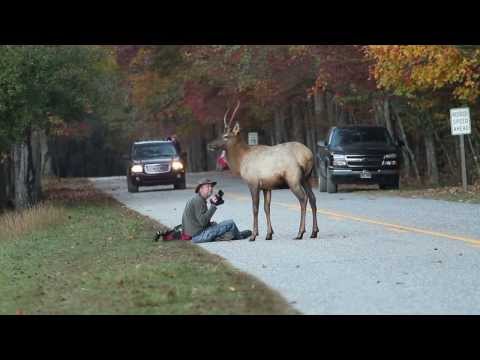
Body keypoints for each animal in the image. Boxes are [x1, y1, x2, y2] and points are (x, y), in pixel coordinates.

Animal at [207, 101, 316, 242]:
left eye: (226, 136)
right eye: (220, 134)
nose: (209, 145)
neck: (241, 161)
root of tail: (308, 155)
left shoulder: (253, 183)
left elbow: (255, 208)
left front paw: (253, 235)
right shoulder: (266, 186)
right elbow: (266, 208)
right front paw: (269, 234)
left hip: (293, 179)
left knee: (303, 198)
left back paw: (300, 233)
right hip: (307, 178)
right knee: (313, 198)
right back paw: (314, 232)